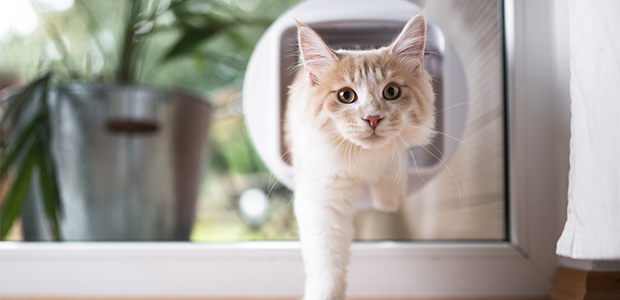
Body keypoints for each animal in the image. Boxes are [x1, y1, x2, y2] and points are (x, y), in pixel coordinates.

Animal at [286, 11, 436, 300]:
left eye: (391, 92)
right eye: (346, 95)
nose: (373, 118)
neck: (365, 160)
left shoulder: (394, 156)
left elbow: (393, 168)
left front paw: (389, 201)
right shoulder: (322, 200)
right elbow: (327, 267)